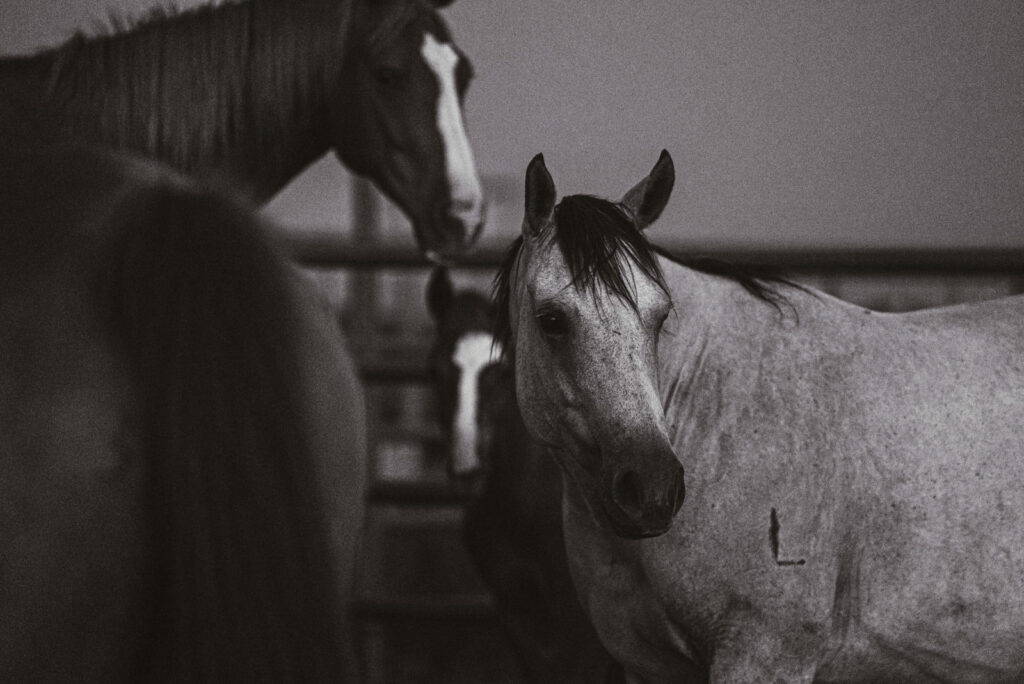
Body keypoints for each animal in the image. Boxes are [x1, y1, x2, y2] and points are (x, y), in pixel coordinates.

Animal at [493, 150, 1024, 682]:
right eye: (551, 320)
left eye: (662, 317)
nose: (652, 490)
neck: (709, 414)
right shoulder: (649, 666)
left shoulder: (766, 654)